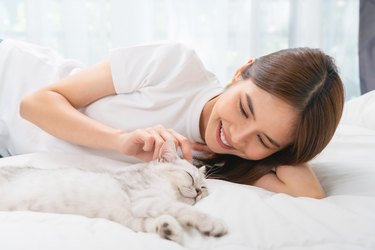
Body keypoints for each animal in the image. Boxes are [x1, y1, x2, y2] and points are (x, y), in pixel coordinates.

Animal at [0, 140, 228, 243]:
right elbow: (183, 209)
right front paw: (212, 223)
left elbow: (152, 223)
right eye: (189, 176)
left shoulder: (132, 218)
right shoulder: (144, 200)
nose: (198, 192)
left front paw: (167, 228)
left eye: (204, 187)